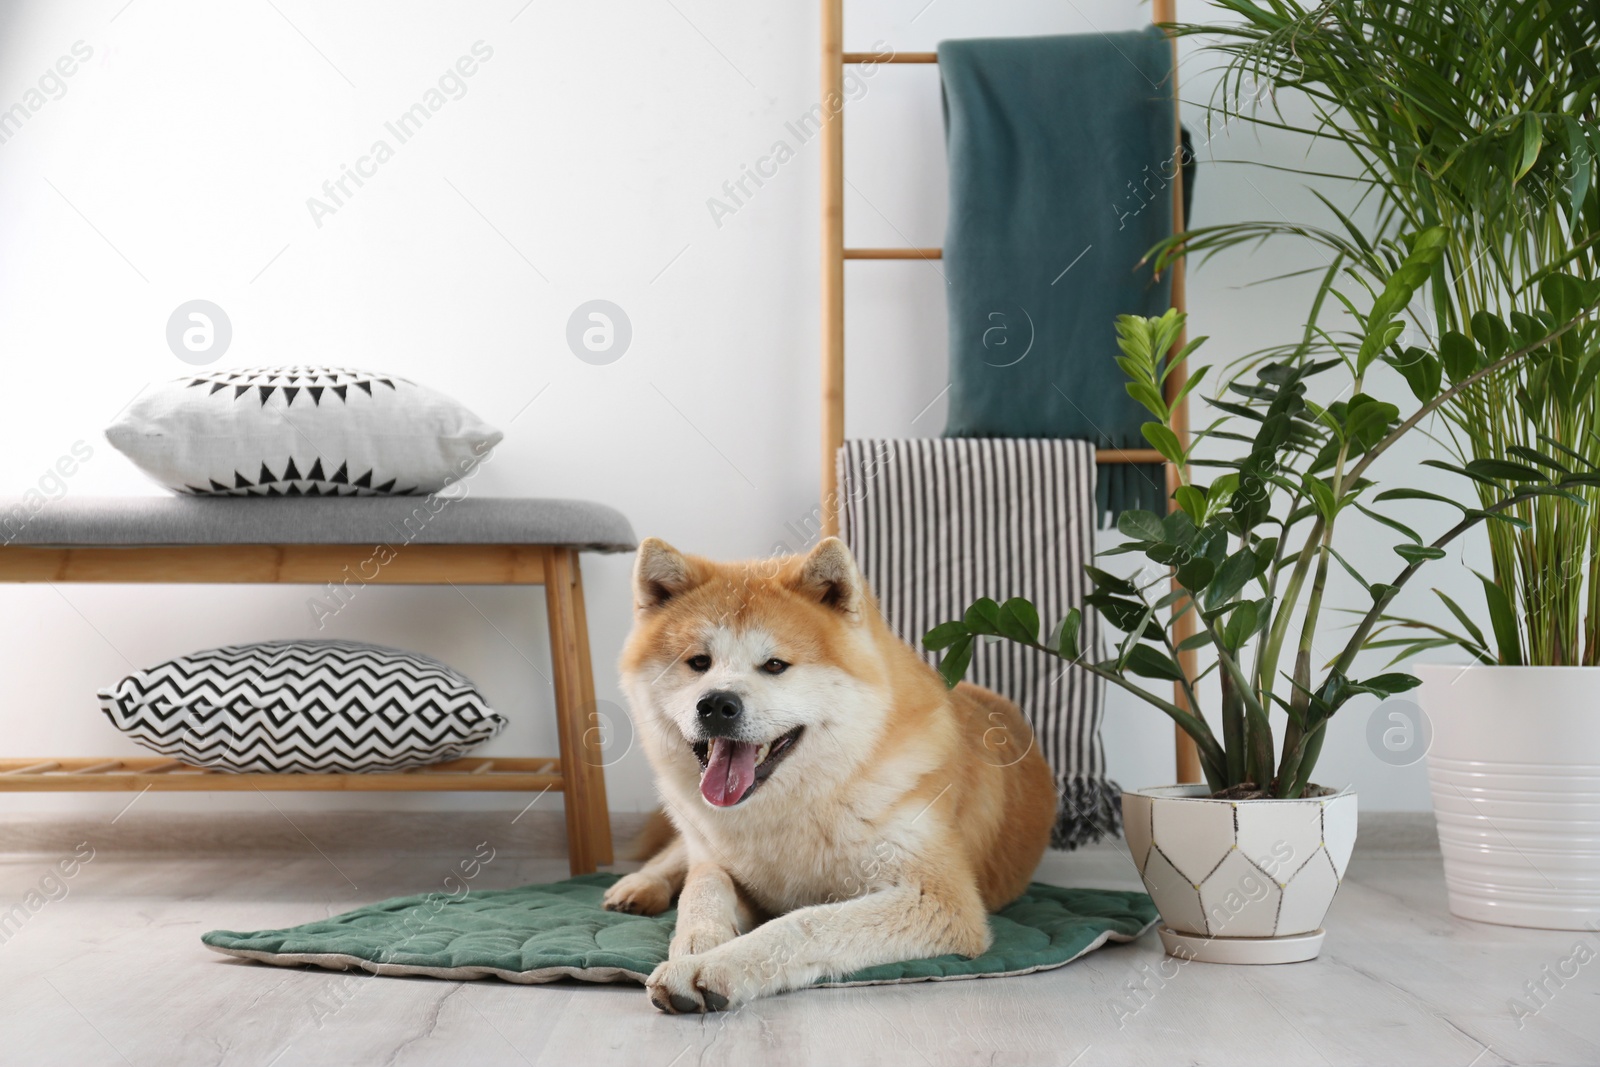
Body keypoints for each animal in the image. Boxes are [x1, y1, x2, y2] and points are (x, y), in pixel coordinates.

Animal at [604, 537, 1056, 1017]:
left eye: (775, 665)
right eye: (698, 662)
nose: (716, 705)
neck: (809, 799)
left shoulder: (939, 899)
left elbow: (802, 924)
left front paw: (713, 966)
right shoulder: (719, 862)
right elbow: (701, 891)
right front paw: (697, 943)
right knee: (677, 854)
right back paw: (638, 885)